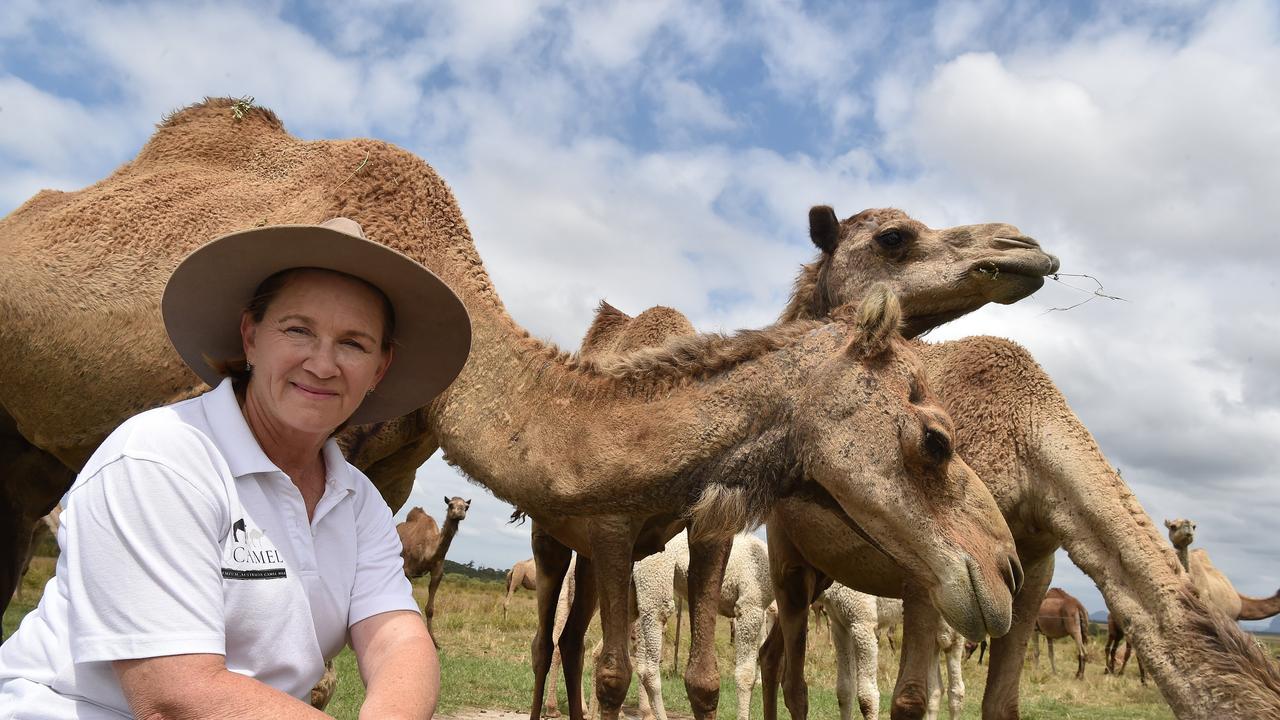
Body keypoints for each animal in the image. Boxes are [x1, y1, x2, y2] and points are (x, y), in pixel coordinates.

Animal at [396, 491, 473, 638]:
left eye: (466, 507)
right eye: (450, 504)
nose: (460, 512)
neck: (428, 550)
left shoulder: (437, 573)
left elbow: (430, 609)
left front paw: (433, 639)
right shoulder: (408, 570)